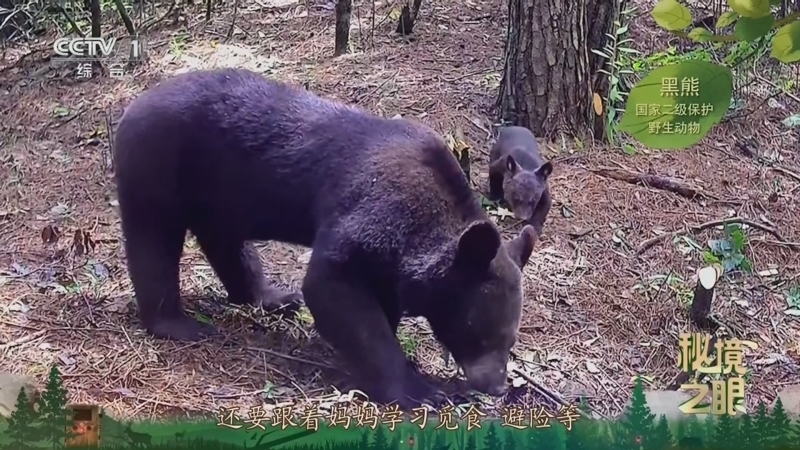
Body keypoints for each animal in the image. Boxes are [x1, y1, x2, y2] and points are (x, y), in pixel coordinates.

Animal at [113, 68, 538, 408]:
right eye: (480, 334)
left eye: (511, 339)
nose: (497, 386)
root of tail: (132, 105)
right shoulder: (372, 213)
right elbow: (333, 287)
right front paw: (420, 389)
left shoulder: (389, 256)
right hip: (158, 167)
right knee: (154, 241)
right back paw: (178, 323)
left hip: (216, 193)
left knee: (226, 242)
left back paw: (272, 297)